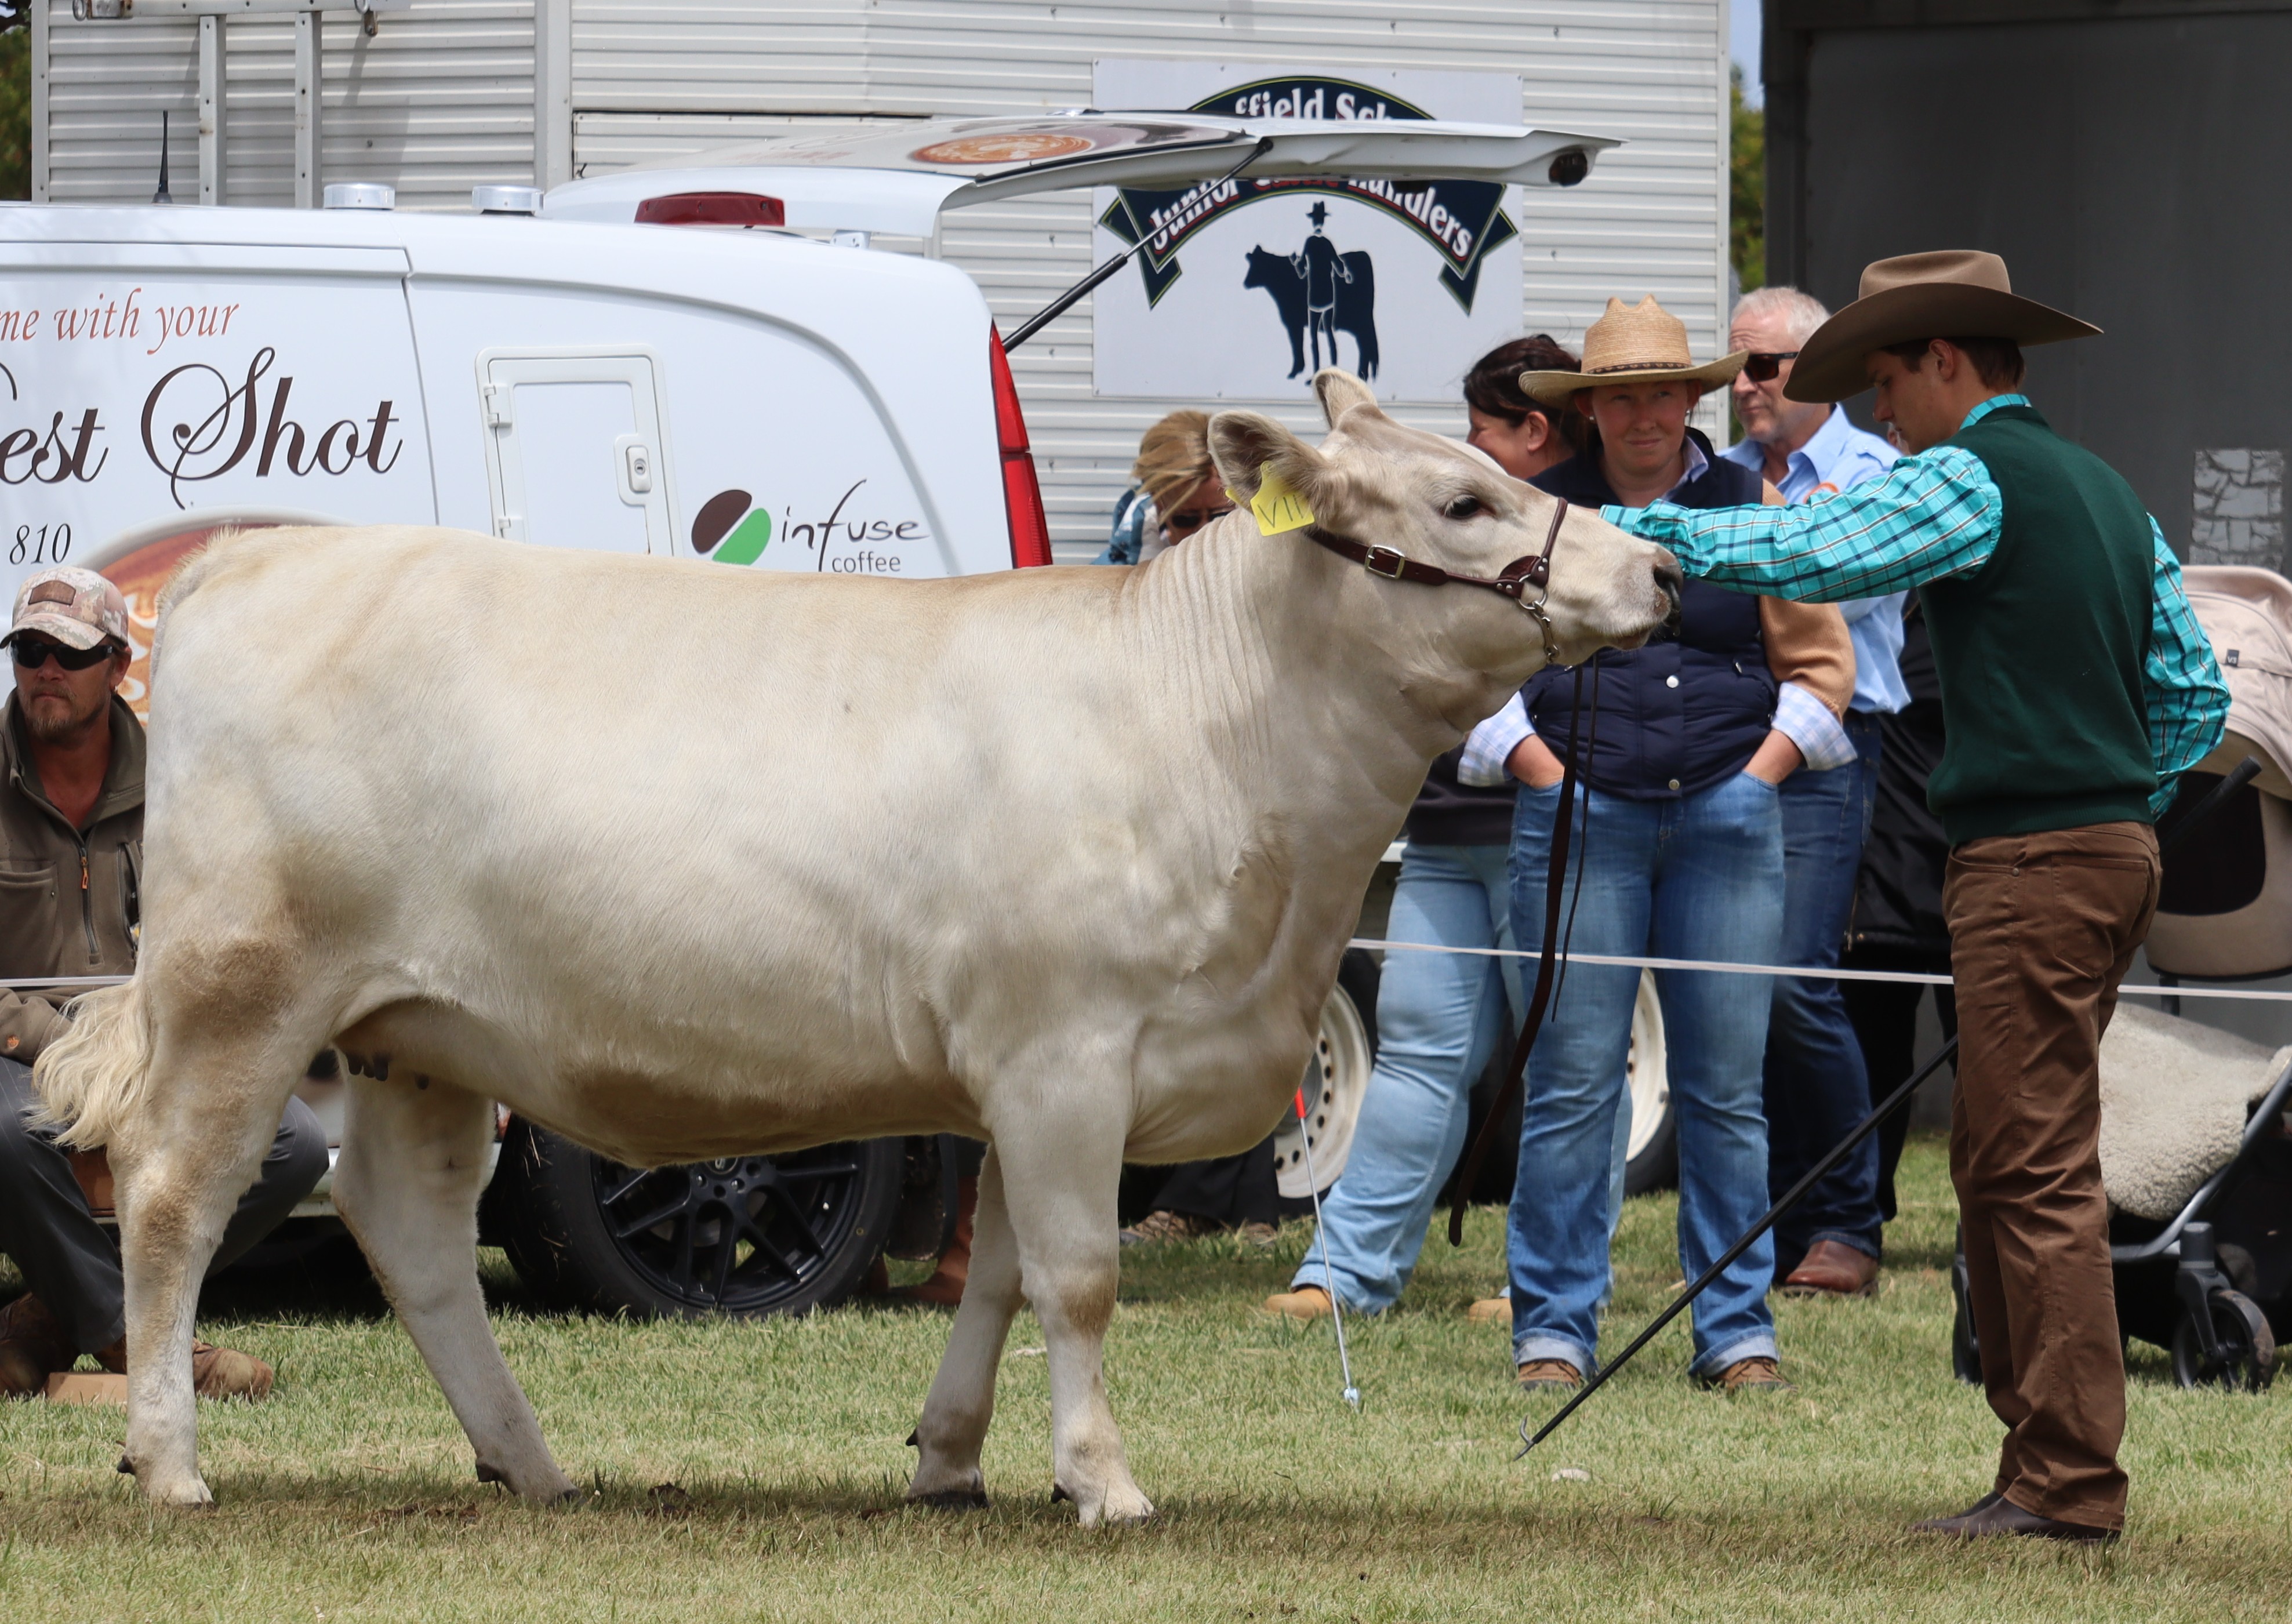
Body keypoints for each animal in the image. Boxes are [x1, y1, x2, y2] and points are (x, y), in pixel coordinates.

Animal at [35, 370, 1677, 1525]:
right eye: (1458, 502)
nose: (1656, 574)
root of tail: (243, 568)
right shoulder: (1066, 1050)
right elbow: (1076, 1278)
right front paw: (1104, 1479)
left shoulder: (1027, 1073)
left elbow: (997, 1276)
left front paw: (951, 1460)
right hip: (243, 988)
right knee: (175, 1196)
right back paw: (170, 1459)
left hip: (420, 1031)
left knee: (411, 1228)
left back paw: (530, 1462)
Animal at [1245, 245, 1380, 380]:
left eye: (1257, 264)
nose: (1246, 283)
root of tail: (1363, 254)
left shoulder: (1293, 323)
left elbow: (1297, 345)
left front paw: (1295, 371)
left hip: (1360, 322)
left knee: (1365, 346)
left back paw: (1361, 375)